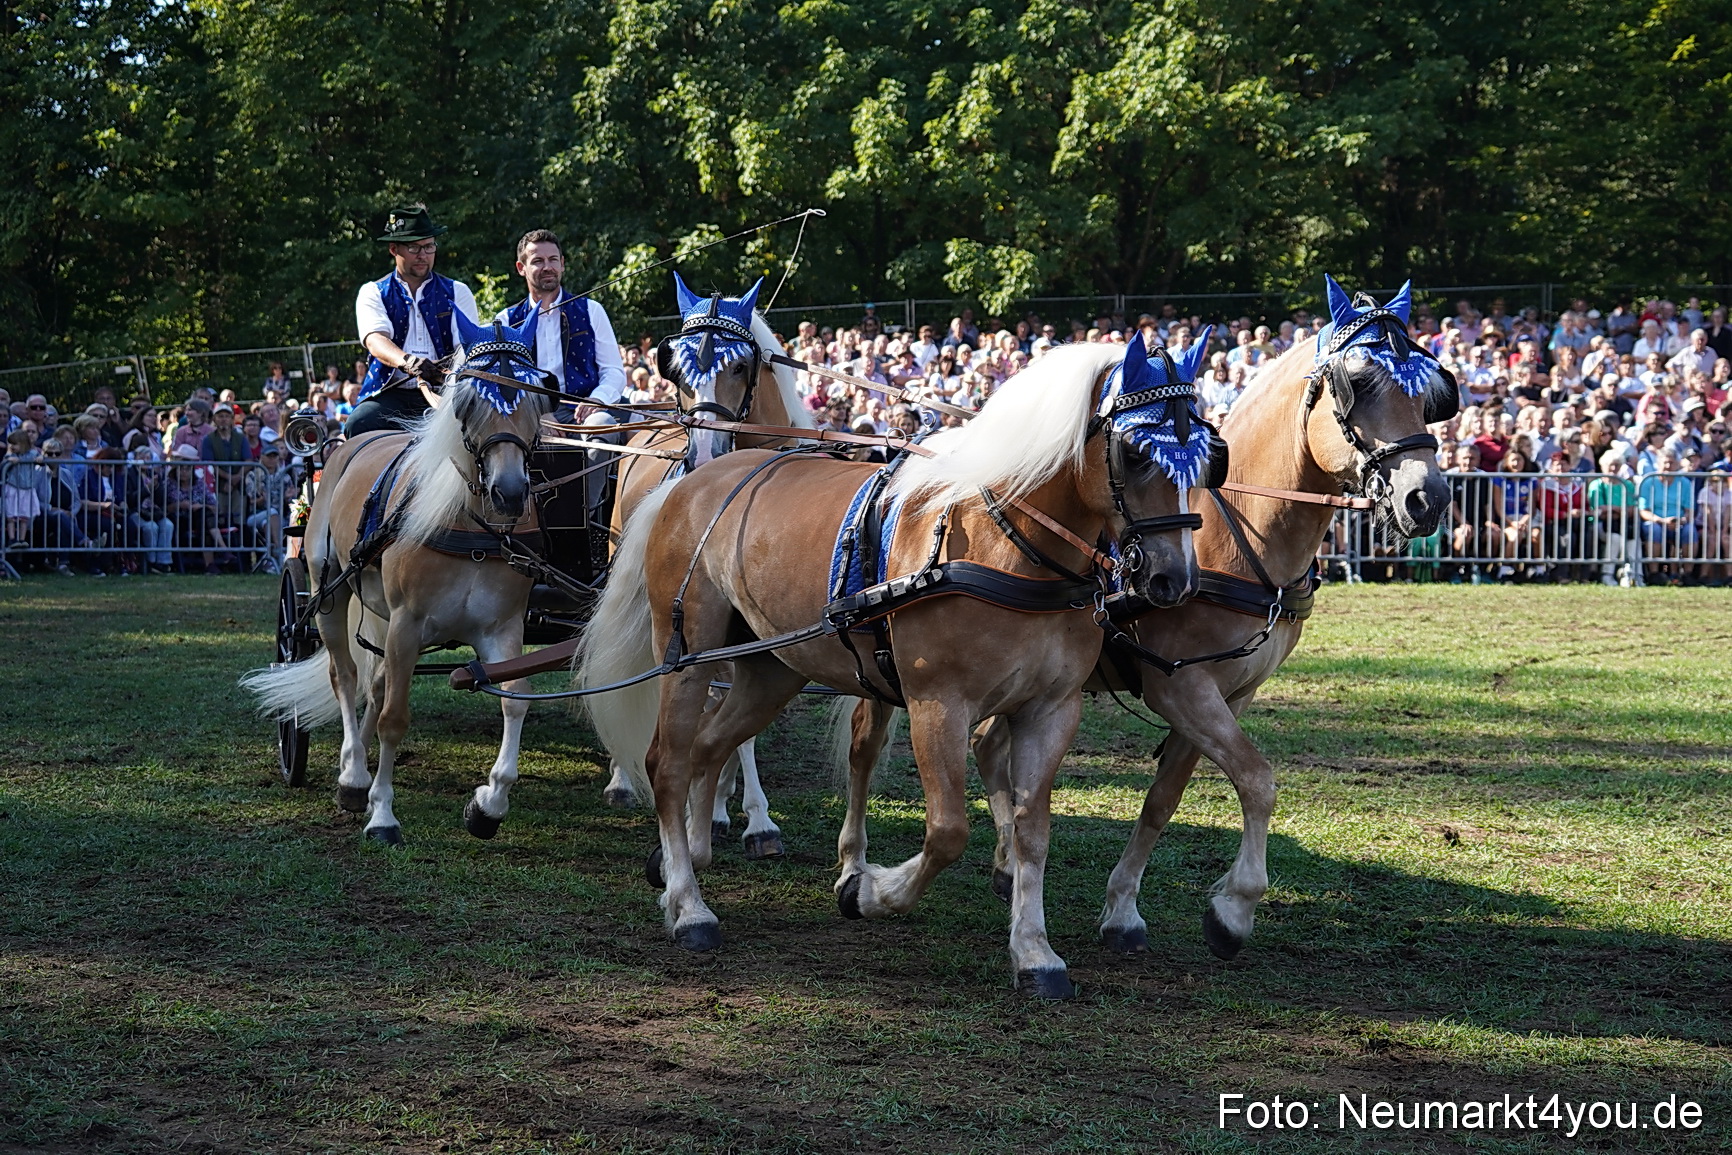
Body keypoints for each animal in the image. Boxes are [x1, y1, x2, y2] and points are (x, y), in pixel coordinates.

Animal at [243, 309, 554, 846]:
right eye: (468, 402)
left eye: (539, 396)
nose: (510, 492)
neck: (470, 527)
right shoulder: (408, 624)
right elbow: (394, 718)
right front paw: (383, 815)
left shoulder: (501, 628)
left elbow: (515, 702)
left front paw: (489, 804)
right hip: (329, 594)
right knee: (345, 675)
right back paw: (352, 775)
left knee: (376, 682)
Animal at [580, 337, 1224, 998]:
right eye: (1136, 451)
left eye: (1210, 457)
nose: (1173, 580)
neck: (1003, 542)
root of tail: (691, 480)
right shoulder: (937, 706)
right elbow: (948, 831)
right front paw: (868, 891)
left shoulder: (1051, 710)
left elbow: (1033, 831)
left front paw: (1034, 951)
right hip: (688, 657)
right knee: (668, 762)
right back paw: (689, 904)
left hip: (771, 668)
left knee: (710, 746)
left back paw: (692, 853)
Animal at [593, 273, 814, 860]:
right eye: (674, 367)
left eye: (740, 366)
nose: (705, 453)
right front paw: (712, 808)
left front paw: (745, 812)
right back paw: (624, 779)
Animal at [978, 276, 1454, 961]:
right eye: (1358, 385)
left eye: (1429, 392)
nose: (1428, 499)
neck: (1242, 536)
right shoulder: (1179, 686)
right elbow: (1257, 779)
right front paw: (1234, 908)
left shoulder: (1232, 692)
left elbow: (1163, 800)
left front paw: (1122, 909)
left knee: (989, 750)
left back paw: (1006, 865)